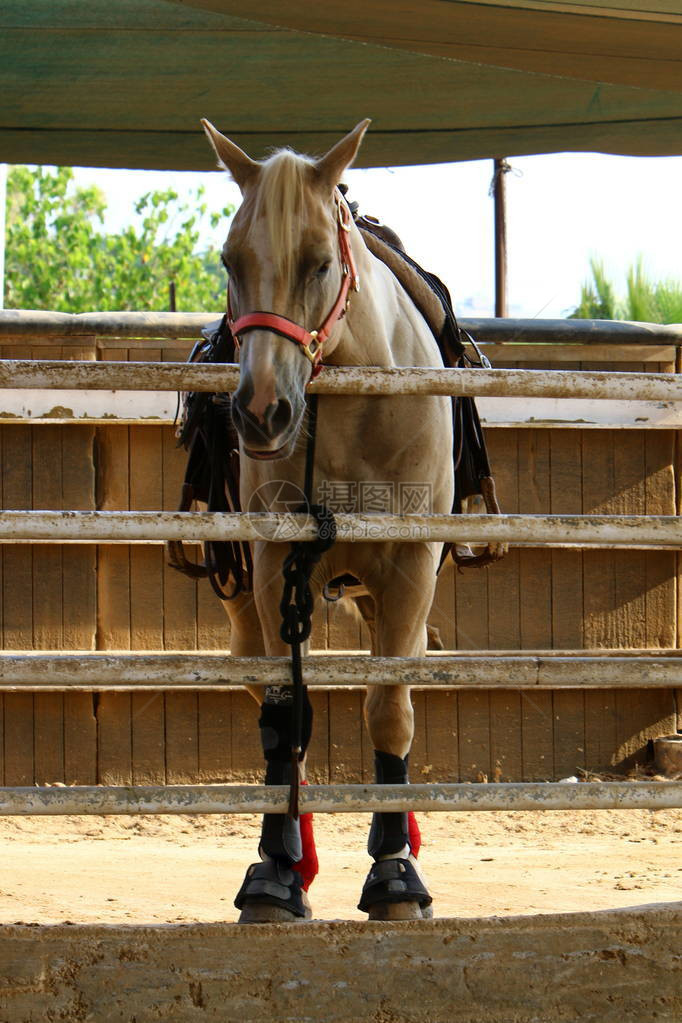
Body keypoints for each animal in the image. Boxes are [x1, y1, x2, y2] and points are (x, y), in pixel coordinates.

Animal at [201, 116, 458, 924]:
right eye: (230, 260)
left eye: (319, 263)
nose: (261, 411)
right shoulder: (275, 569)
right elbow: (288, 718)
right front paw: (275, 872)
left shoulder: (409, 569)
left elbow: (389, 709)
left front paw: (395, 873)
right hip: (246, 610)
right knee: (268, 697)